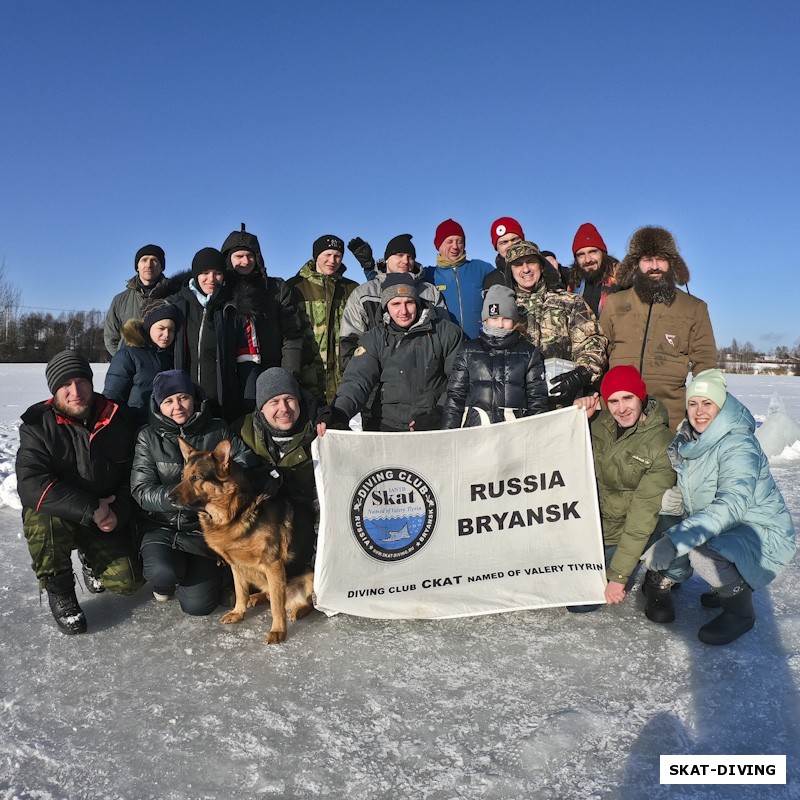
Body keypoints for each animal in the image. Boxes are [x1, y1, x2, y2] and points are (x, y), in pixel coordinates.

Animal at [173, 438, 314, 644]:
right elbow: (240, 591)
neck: (236, 512)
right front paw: (238, 612)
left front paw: (278, 630)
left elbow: (276, 606)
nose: (168, 497)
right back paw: (257, 597)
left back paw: (299, 609)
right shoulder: (236, 565)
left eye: (196, 477)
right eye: (182, 476)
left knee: (307, 603)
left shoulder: (273, 566)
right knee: (268, 593)